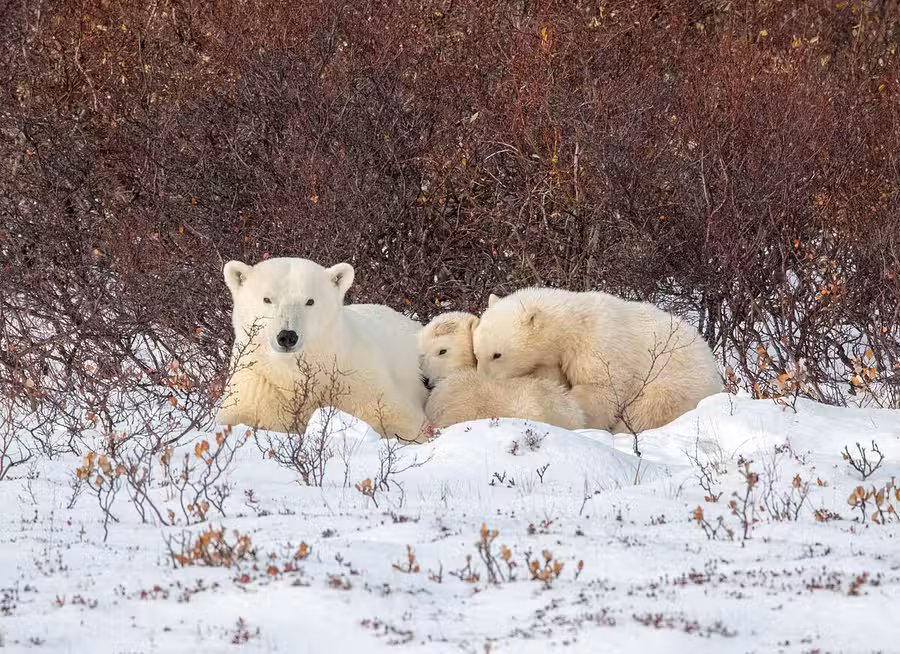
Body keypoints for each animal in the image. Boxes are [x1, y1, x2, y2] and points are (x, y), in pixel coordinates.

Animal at [215, 257, 428, 442]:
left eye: (310, 301)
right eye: (267, 299)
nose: (287, 336)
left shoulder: (352, 378)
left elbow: (401, 419)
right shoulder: (258, 378)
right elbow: (243, 414)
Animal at [472, 288, 722, 434]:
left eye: (497, 354)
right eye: (476, 353)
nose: (482, 379)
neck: (573, 325)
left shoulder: (599, 346)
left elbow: (599, 388)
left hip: (674, 383)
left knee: (648, 409)